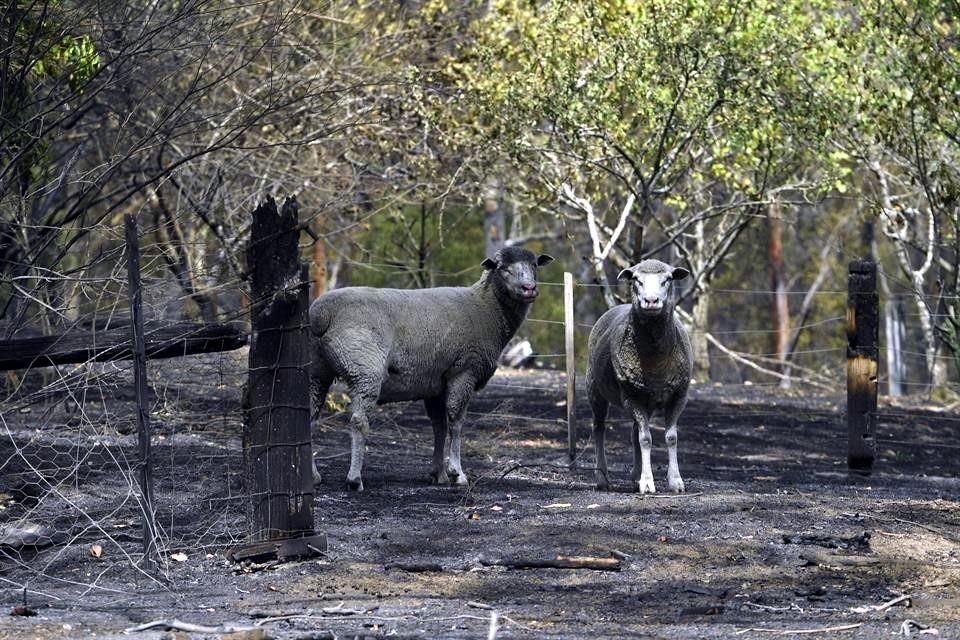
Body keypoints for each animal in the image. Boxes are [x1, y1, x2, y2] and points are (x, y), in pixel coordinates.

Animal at [312, 245, 552, 490]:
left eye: (534, 265)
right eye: (503, 267)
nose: (529, 288)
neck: (487, 308)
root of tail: (321, 313)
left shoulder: (436, 383)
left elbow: (439, 426)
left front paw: (439, 473)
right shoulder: (463, 371)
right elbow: (456, 423)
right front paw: (457, 473)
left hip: (316, 371)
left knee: (309, 418)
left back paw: (313, 476)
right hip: (364, 368)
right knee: (358, 421)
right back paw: (354, 479)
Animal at [580, 258, 692, 492]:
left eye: (668, 279)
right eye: (636, 280)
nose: (651, 301)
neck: (656, 364)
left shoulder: (679, 395)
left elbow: (671, 437)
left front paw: (675, 481)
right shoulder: (631, 396)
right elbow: (646, 439)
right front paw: (648, 483)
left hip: (644, 398)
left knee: (633, 433)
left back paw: (635, 476)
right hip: (595, 389)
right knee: (599, 429)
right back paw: (602, 478)